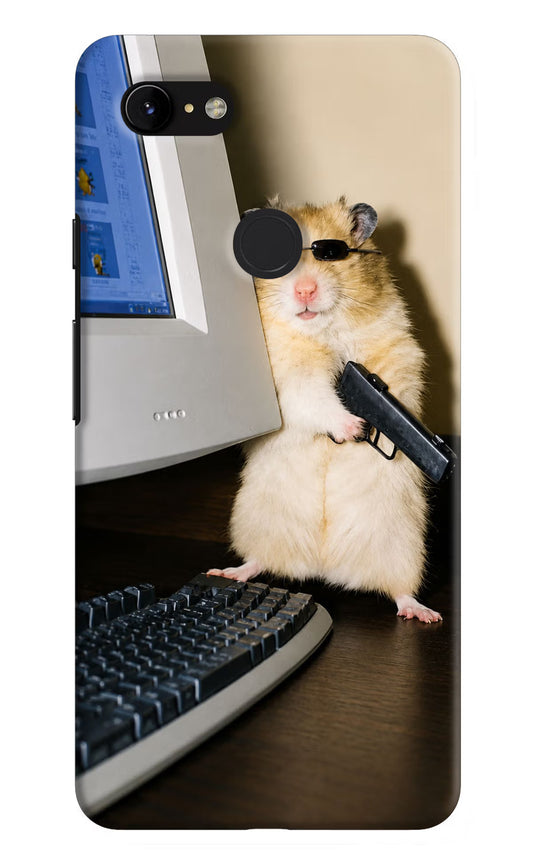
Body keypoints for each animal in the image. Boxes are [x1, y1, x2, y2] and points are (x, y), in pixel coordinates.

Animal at [208, 197, 441, 623]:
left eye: (331, 254)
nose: (305, 290)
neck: (322, 331)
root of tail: (324, 567)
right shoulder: (288, 379)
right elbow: (314, 398)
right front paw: (353, 427)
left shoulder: (398, 351)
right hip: (257, 522)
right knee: (258, 561)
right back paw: (228, 572)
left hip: (403, 545)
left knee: (400, 590)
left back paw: (423, 613)